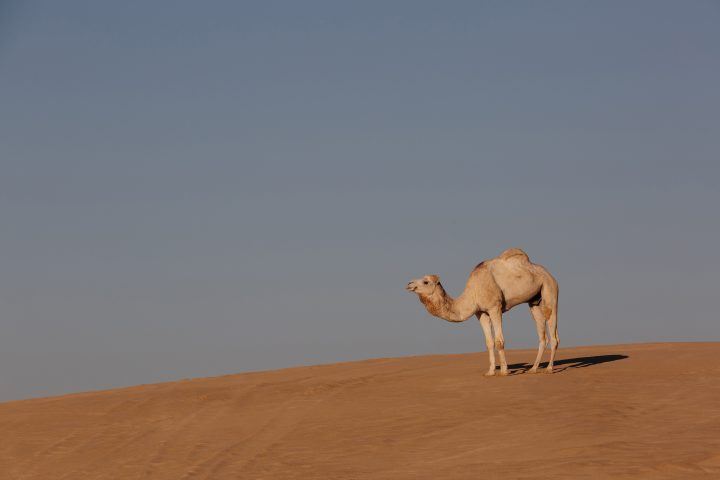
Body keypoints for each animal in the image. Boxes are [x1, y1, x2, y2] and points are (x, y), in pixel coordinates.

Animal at [408, 249, 560, 376]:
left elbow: (499, 341)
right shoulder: (480, 313)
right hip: (534, 301)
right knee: (542, 335)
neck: (473, 293)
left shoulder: (494, 307)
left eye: (426, 282)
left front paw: (504, 371)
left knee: (553, 332)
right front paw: (490, 372)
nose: (409, 284)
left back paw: (549, 368)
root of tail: (550, 274)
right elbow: (489, 342)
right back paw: (533, 369)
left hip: (550, 289)